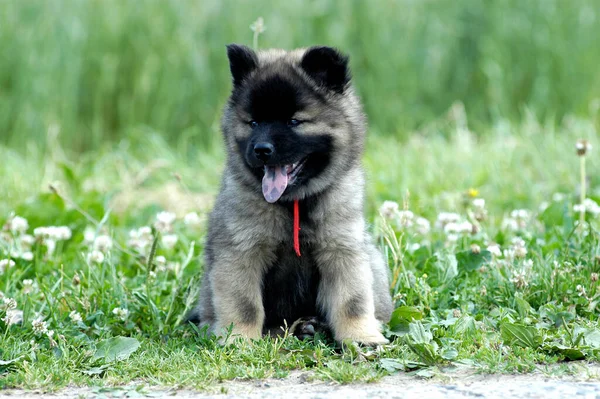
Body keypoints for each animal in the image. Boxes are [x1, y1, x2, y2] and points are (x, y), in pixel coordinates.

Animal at [189, 43, 394, 344]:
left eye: (294, 121)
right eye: (253, 123)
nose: (261, 149)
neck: (295, 201)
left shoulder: (342, 251)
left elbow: (352, 303)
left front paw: (362, 337)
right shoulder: (241, 253)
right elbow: (244, 305)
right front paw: (239, 340)